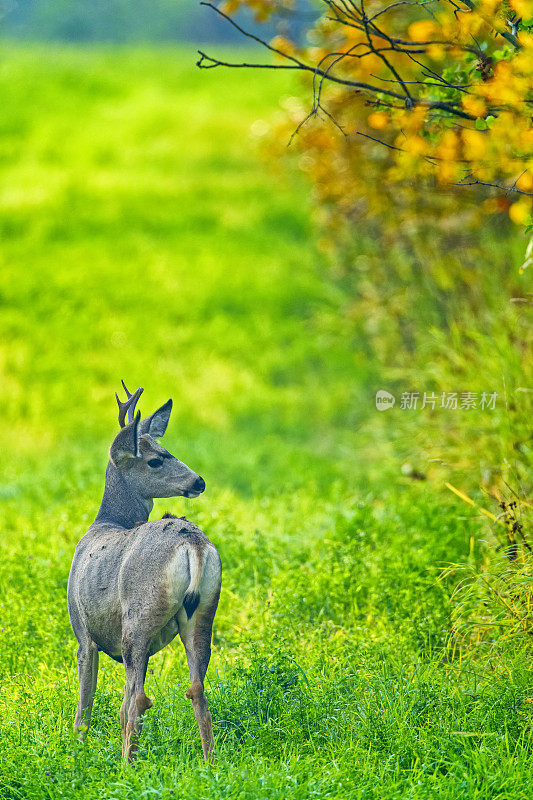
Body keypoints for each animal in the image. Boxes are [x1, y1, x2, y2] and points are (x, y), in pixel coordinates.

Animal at [66, 386, 220, 764]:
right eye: (157, 459)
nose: (199, 481)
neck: (107, 521)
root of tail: (192, 544)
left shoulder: (83, 631)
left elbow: (84, 706)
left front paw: (77, 751)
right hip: (203, 612)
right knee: (197, 689)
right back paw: (211, 763)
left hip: (137, 617)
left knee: (134, 699)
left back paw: (127, 764)